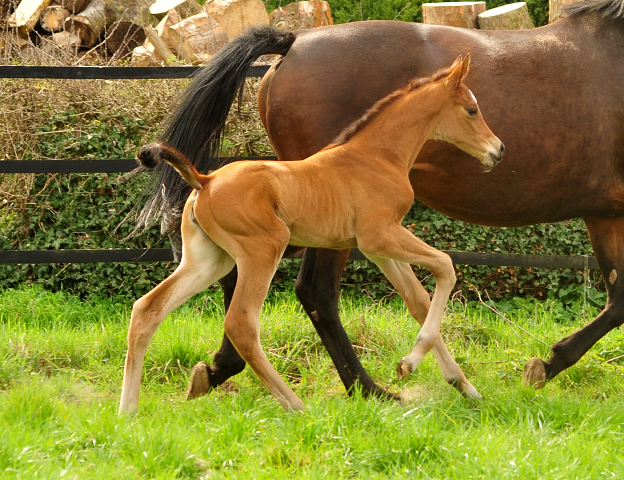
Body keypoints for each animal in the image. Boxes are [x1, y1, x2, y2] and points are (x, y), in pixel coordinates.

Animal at [120, 56, 502, 414]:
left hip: (209, 260)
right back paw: (296, 406)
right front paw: (410, 363)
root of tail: (205, 180)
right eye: (472, 109)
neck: (377, 156)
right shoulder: (379, 235)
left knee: (147, 309)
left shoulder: (379, 249)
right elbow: (445, 266)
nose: (497, 150)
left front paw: (462, 385)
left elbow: (418, 300)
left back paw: (128, 411)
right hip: (263, 249)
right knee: (241, 323)